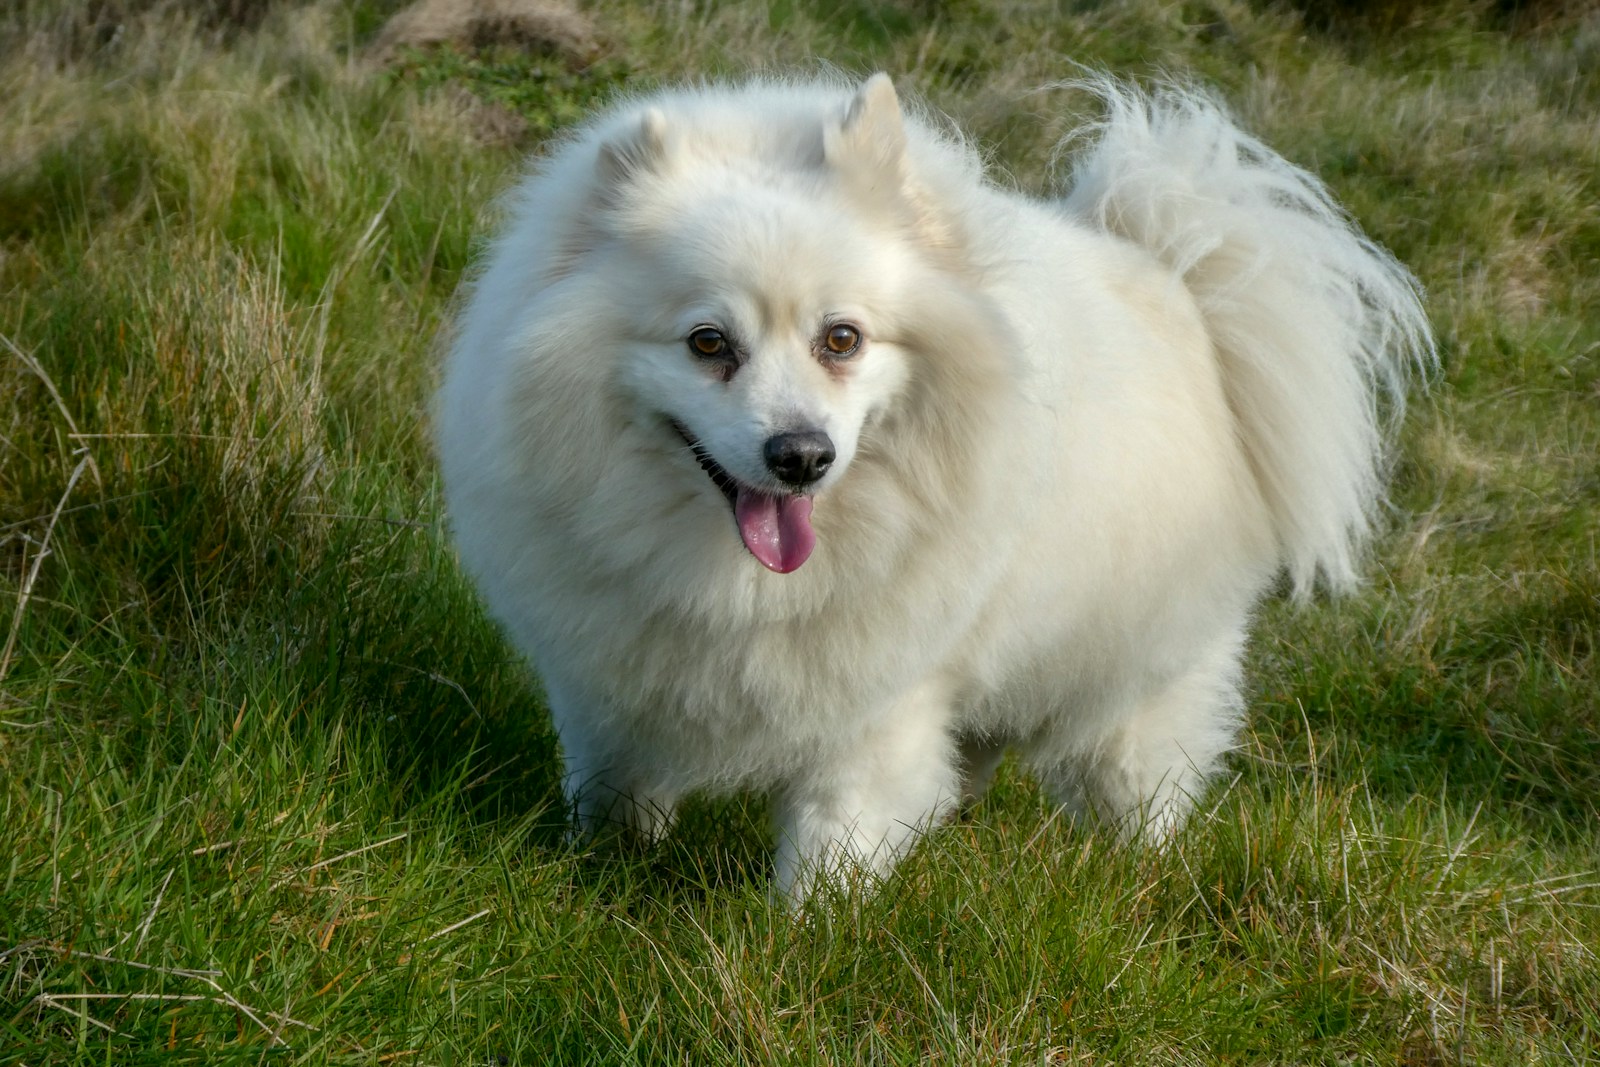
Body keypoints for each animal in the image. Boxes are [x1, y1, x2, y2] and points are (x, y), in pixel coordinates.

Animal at [432, 68, 1433, 902]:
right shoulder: (606, 677)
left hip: (1137, 678)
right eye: (708, 343)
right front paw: (595, 869)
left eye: (841, 338)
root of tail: (1175, 280)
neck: (736, 580)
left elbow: (832, 840)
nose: (801, 454)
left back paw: (1132, 875)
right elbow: (614, 788)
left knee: (1140, 780)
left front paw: (796, 942)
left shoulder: (878, 701)